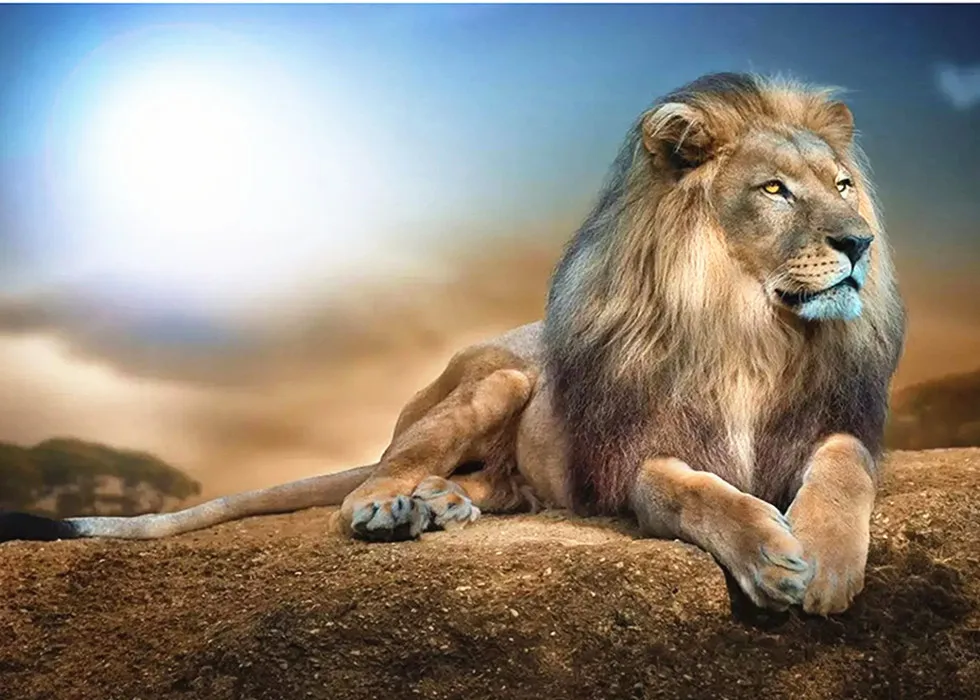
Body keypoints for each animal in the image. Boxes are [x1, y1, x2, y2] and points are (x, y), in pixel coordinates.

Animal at [0, 73, 905, 616]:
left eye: (844, 185)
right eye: (775, 190)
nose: (860, 242)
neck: (750, 329)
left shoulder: (831, 424)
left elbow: (843, 467)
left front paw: (825, 561)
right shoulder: (631, 462)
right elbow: (693, 491)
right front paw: (772, 554)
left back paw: (441, 505)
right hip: (496, 382)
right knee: (372, 479)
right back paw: (391, 507)